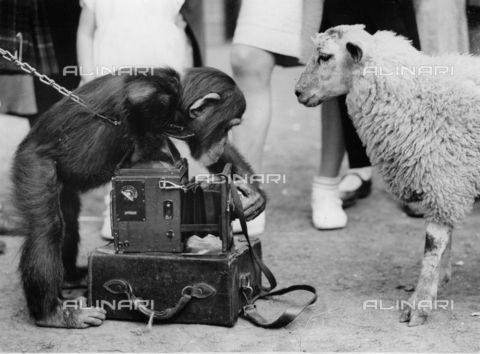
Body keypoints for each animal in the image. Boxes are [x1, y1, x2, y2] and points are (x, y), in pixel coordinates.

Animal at [12, 65, 266, 326]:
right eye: (227, 127)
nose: (224, 141)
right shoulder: (157, 98)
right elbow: (137, 99)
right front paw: (153, 159)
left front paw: (252, 195)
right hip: (34, 164)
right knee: (47, 227)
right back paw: (53, 313)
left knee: (69, 218)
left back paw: (72, 276)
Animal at [294, 24, 480, 328]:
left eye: (324, 56)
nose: (297, 92)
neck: (418, 96)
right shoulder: (448, 185)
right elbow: (445, 241)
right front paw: (439, 283)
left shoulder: (445, 178)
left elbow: (433, 244)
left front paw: (419, 304)